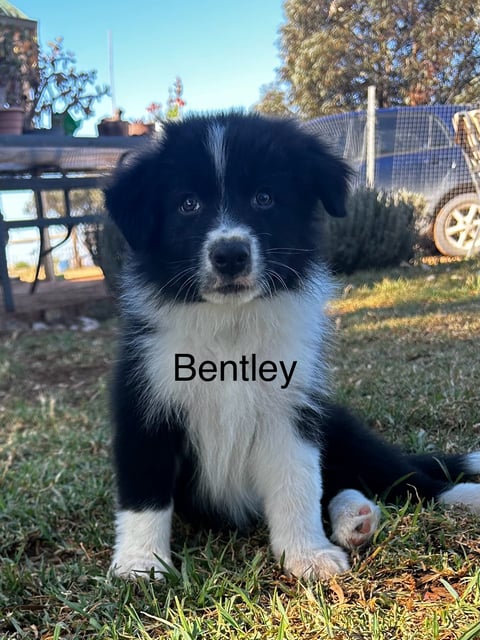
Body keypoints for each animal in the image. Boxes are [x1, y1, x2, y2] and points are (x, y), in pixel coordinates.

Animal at [105, 111, 480, 580]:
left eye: (264, 198)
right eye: (187, 204)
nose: (231, 255)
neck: (230, 328)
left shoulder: (293, 409)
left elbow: (296, 482)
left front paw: (306, 554)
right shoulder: (144, 405)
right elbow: (145, 492)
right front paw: (140, 564)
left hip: (340, 427)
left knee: (403, 477)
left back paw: (458, 496)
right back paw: (356, 518)